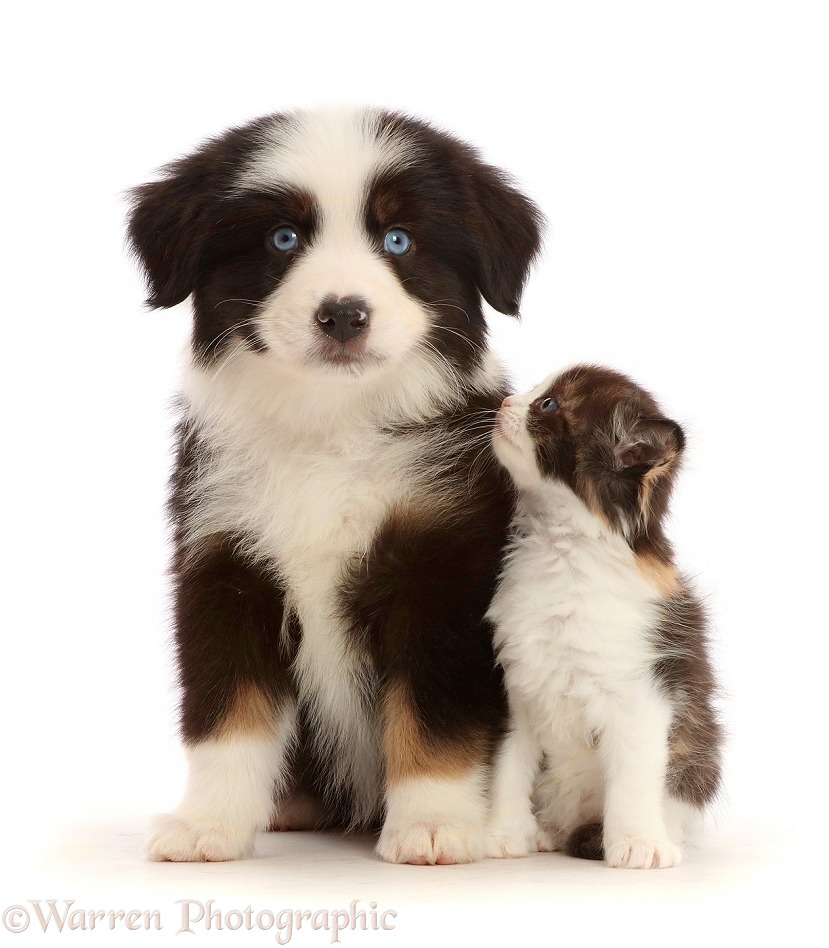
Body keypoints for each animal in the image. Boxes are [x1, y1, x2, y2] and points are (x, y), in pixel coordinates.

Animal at [128, 105, 544, 868]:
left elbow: (433, 711)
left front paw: (434, 825)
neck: (330, 426)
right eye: (283, 237)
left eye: (399, 239)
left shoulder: (441, 566)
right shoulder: (223, 563)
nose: (343, 314)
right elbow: (226, 709)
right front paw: (208, 823)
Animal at [482, 366, 720, 872]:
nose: (506, 402)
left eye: (549, 404)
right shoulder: (515, 686)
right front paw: (501, 833)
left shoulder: (643, 691)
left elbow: (633, 771)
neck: (560, 549)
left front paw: (637, 843)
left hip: (699, 757)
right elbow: (508, 763)